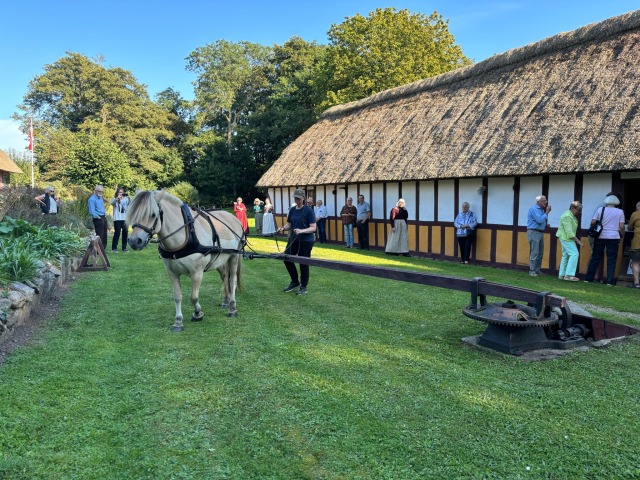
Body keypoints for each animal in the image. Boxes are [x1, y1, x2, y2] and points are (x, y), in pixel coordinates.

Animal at [127, 189, 245, 332]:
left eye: (153, 214)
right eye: (133, 213)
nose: (134, 241)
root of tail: (233, 218)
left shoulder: (197, 272)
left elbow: (193, 297)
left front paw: (198, 314)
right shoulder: (172, 273)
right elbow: (177, 296)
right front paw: (178, 321)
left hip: (234, 256)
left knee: (232, 280)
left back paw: (232, 308)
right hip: (221, 260)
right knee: (224, 277)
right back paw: (226, 301)